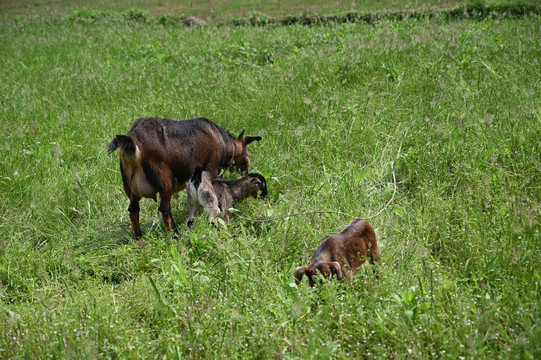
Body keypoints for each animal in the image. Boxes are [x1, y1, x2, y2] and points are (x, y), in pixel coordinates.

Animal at [108, 116, 262, 238]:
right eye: (247, 152)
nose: (247, 169)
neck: (223, 142)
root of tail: (132, 139)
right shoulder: (211, 169)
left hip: (130, 186)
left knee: (133, 210)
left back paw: (138, 237)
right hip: (164, 182)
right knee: (164, 209)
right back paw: (174, 234)